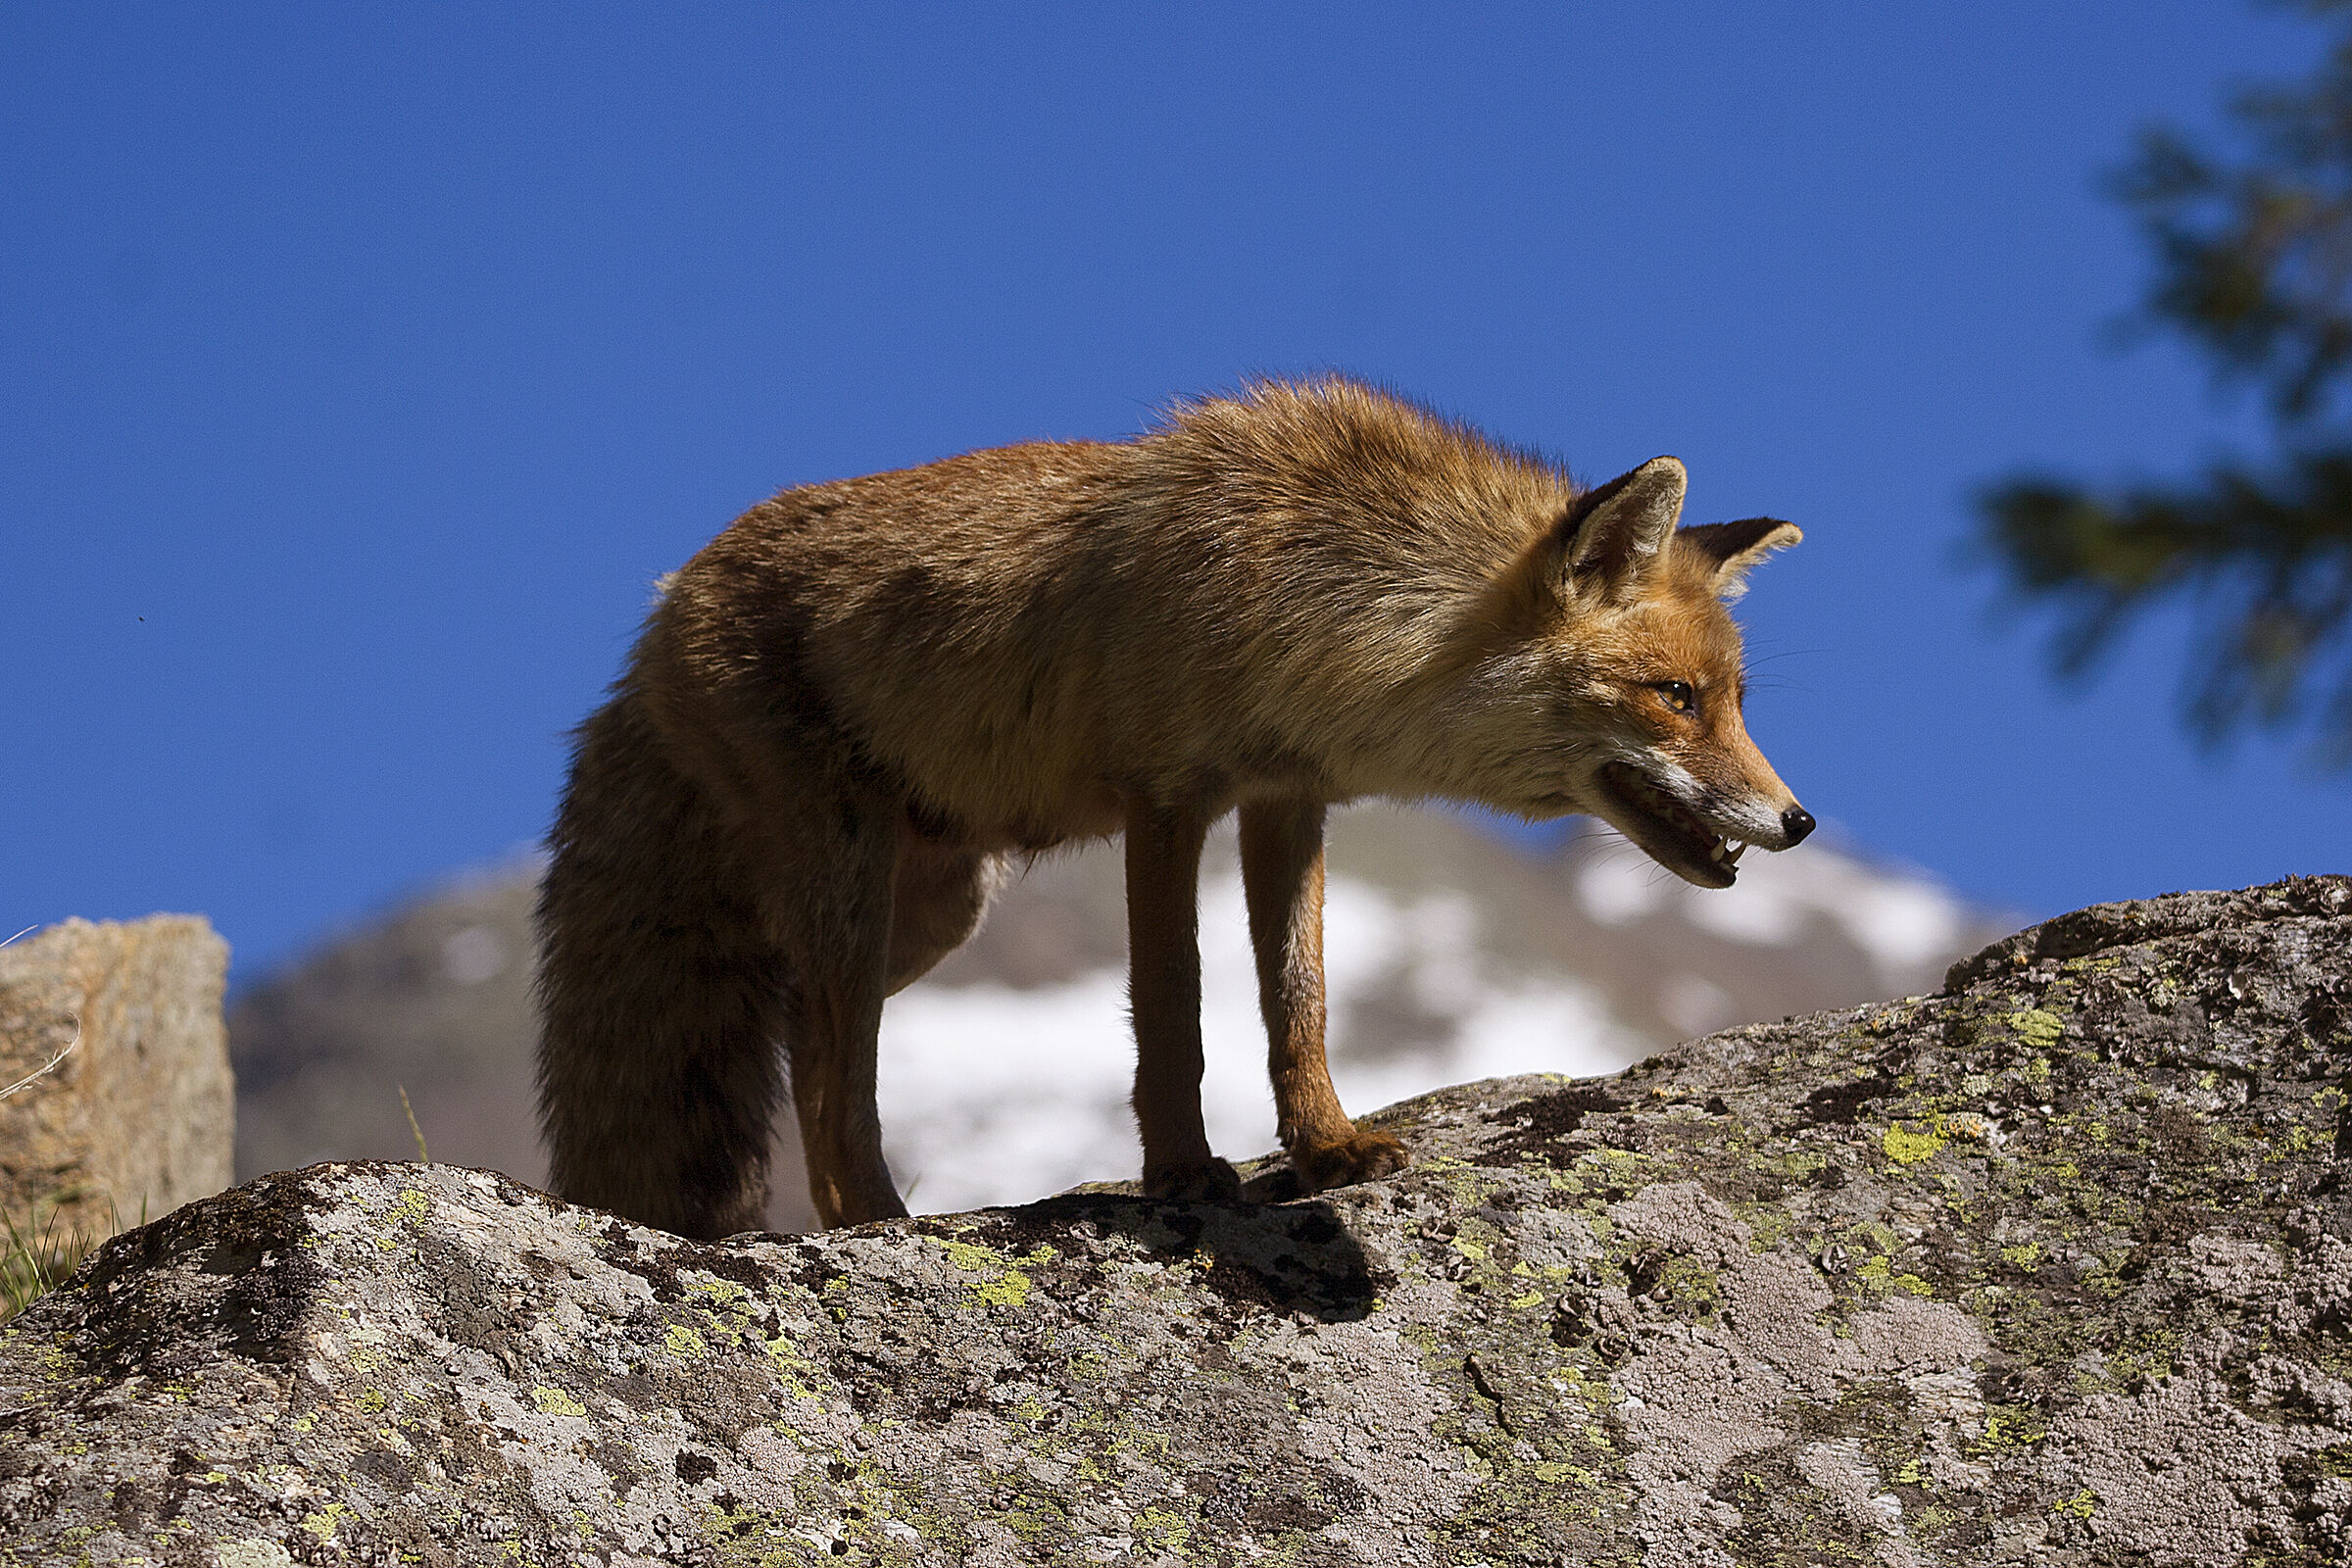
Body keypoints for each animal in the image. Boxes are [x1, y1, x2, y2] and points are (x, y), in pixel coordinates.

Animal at [534, 378, 1813, 1237]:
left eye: (1737, 702)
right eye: (1675, 698)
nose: (1797, 820)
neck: (1315, 602)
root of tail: (658, 612)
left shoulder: (1289, 799)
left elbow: (1299, 999)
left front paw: (1327, 1148)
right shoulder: (1165, 798)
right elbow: (1174, 1013)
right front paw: (1184, 1175)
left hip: (929, 910)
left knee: (801, 1029)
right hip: (851, 885)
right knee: (831, 1063)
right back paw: (878, 1221)